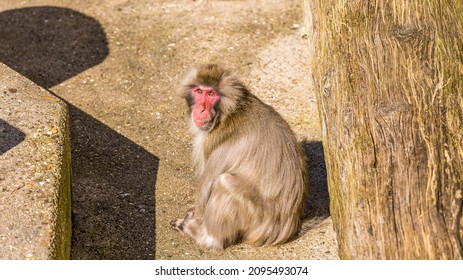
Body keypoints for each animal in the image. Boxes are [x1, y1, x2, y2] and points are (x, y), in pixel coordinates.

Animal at [170, 64, 308, 250]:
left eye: (211, 94)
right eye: (199, 91)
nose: (201, 109)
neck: (228, 114)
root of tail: (288, 229)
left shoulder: (215, 144)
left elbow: (207, 189)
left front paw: (195, 218)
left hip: (259, 223)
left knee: (224, 183)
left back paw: (206, 238)